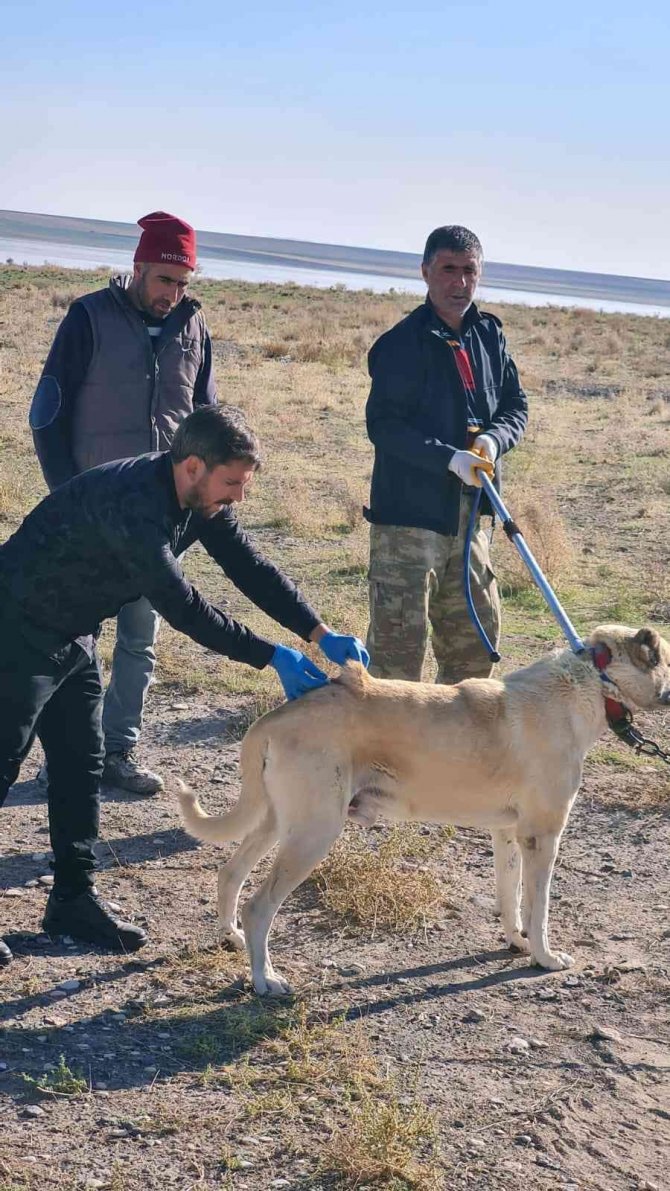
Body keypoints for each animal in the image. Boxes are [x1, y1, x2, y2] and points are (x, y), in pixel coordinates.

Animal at [177, 624, 670, 995]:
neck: (593, 680)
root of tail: (276, 716)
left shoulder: (509, 834)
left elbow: (511, 899)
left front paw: (516, 942)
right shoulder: (542, 836)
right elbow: (539, 908)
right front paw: (545, 958)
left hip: (279, 822)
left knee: (230, 873)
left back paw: (232, 936)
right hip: (313, 833)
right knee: (260, 905)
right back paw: (265, 979)